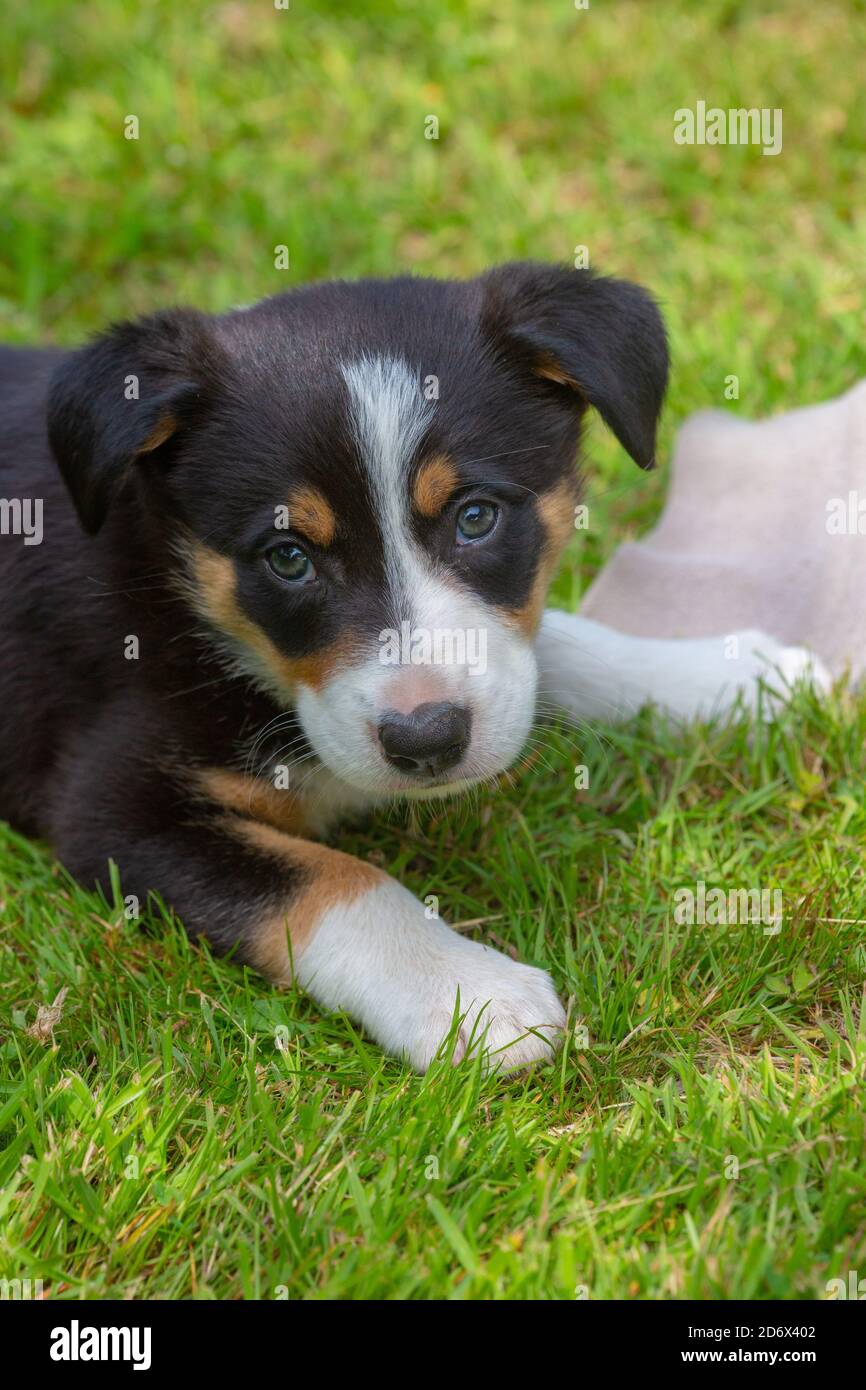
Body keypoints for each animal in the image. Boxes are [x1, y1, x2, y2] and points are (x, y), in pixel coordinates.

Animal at [0, 261, 811, 1067]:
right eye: (288, 558)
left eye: (475, 517)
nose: (427, 740)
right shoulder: (115, 813)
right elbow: (334, 881)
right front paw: (471, 996)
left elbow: (549, 650)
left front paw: (732, 678)